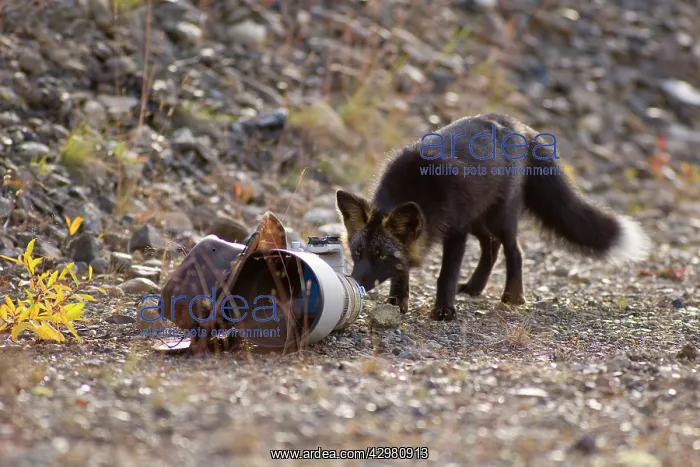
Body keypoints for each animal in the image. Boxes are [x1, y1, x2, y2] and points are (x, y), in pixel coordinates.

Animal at [336, 113, 651, 321]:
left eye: (381, 256)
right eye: (358, 252)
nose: (355, 282)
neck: (416, 188)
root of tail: (516, 124)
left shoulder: (456, 232)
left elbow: (445, 276)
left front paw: (444, 310)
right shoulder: (443, 232)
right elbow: (402, 274)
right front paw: (395, 303)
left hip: (498, 218)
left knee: (514, 250)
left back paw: (513, 296)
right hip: (479, 219)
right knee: (492, 246)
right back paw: (476, 287)